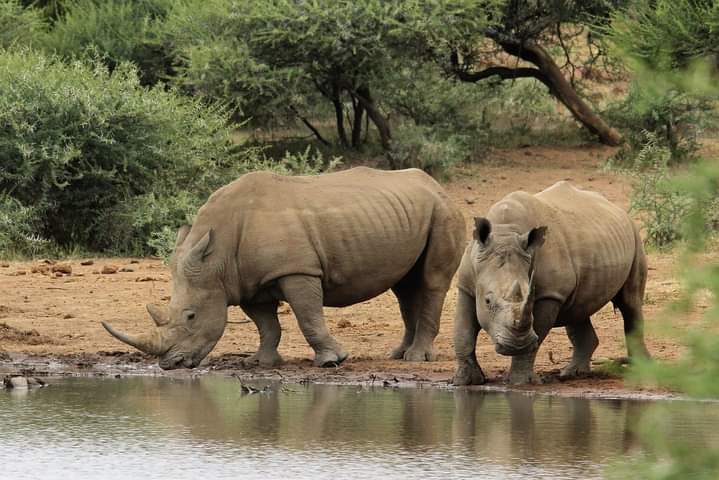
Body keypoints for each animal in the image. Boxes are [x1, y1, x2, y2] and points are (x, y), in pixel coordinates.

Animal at [102, 167, 466, 370]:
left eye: (191, 316)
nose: (168, 365)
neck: (217, 257)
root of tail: (436, 185)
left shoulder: (297, 270)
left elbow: (308, 317)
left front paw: (331, 361)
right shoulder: (246, 281)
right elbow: (266, 325)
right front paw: (259, 363)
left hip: (443, 211)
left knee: (431, 281)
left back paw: (416, 359)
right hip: (411, 213)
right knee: (405, 287)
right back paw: (398, 355)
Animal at [456, 181, 652, 386]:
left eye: (531, 296)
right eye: (487, 302)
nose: (516, 346)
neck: (505, 232)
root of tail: (619, 210)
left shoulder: (549, 294)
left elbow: (537, 334)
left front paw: (519, 382)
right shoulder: (466, 285)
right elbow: (463, 332)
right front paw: (466, 380)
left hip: (635, 237)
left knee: (630, 303)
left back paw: (640, 367)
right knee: (578, 310)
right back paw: (573, 374)